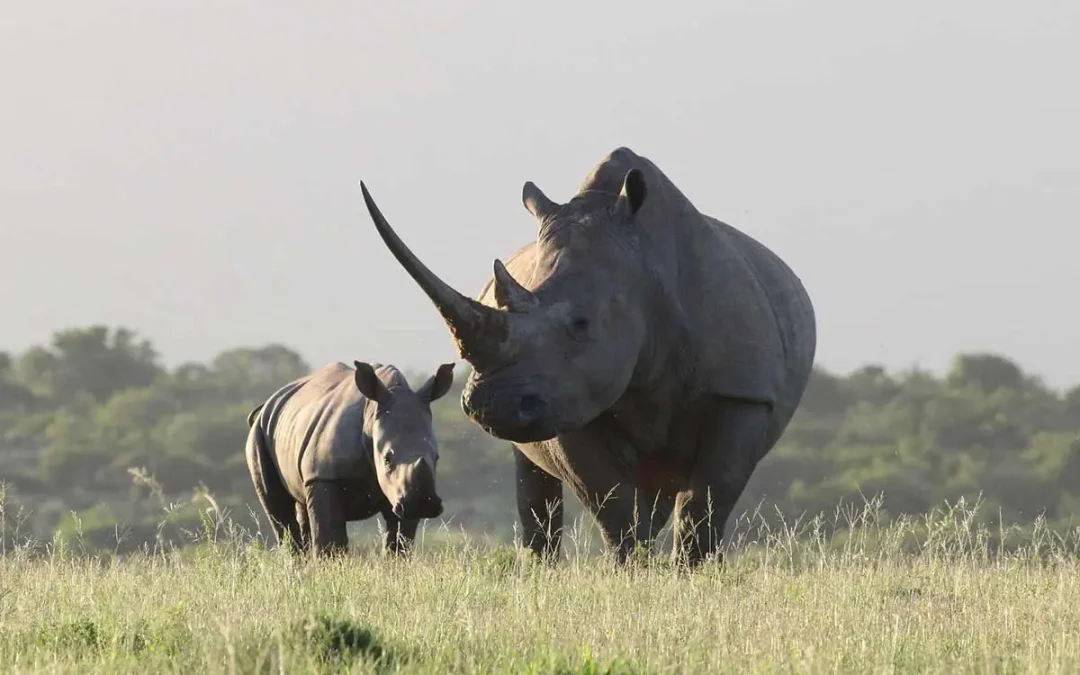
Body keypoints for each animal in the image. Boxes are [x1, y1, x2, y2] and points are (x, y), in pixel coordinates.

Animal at [245, 360, 455, 556]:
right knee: (279, 511)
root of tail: (267, 404)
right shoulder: (323, 475)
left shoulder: (402, 493)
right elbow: (330, 538)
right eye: (387, 459)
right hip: (259, 432)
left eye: (436, 458)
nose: (423, 504)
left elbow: (400, 540)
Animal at [359, 146, 816, 566]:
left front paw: (693, 574)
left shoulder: (742, 393)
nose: (491, 406)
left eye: (581, 324)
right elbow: (611, 503)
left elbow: (706, 503)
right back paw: (539, 568)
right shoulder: (568, 401)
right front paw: (632, 571)